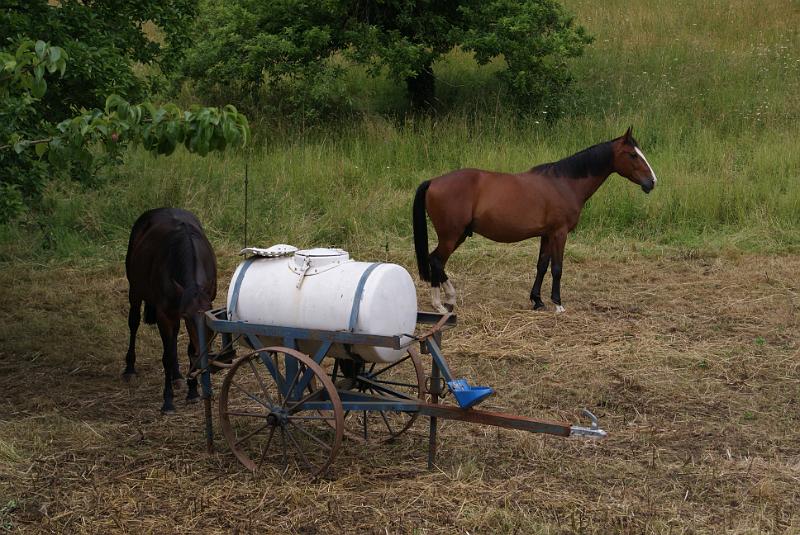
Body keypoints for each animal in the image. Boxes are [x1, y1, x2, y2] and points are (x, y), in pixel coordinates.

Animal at [123, 208, 218, 414]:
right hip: (135, 291)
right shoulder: (165, 315)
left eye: (208, 313)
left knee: (174, 336)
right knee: (133, 323)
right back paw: (129, 368)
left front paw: (193, 391)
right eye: (187, 315)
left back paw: (177, 376)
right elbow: (166, 356)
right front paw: (167, 401)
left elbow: (190, 351)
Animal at [412, 127, 657, 313]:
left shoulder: (546, 234)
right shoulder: (559, 233)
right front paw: (558, 304)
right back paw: (441, 304)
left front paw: (537, 301)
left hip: (459, 235)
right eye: (633, 155)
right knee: (436, 260)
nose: (652, 182)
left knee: (437, 261)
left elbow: (541, 266)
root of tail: (434, 181)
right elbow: (557, 268)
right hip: (451, 235)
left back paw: (448, 300)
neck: (564, 183)